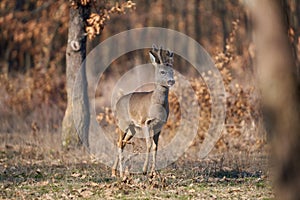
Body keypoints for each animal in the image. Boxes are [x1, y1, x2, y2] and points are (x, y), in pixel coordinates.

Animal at [111, 45, 175, 177]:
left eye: (173, 71)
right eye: (162, 71)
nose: (171, 81)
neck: (157, 104)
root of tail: (118, 102)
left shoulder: (159, 125)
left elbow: (156, 147)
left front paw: (153, 172)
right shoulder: (145, 122)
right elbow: (149, 144)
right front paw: (145, 170)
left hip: (132, 129)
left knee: (122, 142)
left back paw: (114, 171)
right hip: (122, 123)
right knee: (119, 142)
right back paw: (120, 173)